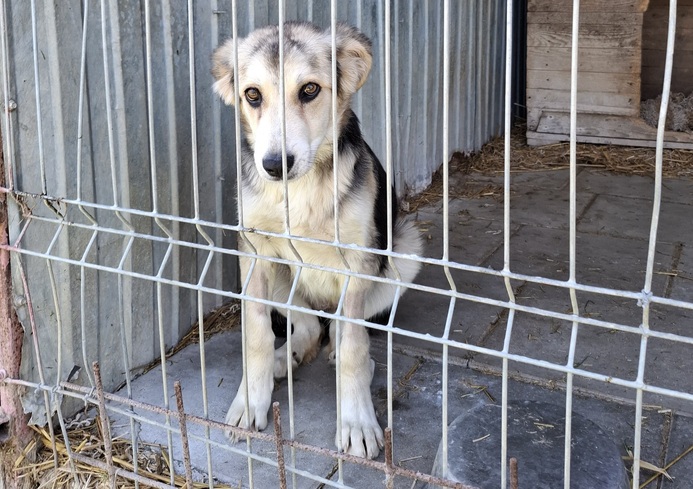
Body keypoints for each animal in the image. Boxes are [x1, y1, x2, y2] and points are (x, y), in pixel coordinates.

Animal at [212, 22, 422, 459]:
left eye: (309, 90)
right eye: (252, 94)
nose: (275, 166)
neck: (301, 190)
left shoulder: (358, 258)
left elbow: (357, 347)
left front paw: (356, 421)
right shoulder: (253, 250)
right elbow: (256, 334)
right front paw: (251, 400)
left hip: (404, 252)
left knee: (346, 332)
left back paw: (341, 353)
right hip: (280, 277)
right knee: (308, 327)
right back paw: (285, 358)